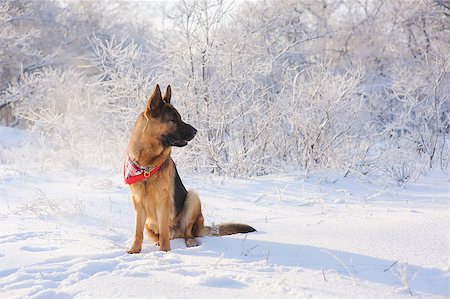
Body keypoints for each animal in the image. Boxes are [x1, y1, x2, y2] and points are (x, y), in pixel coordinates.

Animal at [125, 84, 256, 253]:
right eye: (173, 120)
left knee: (186, 232)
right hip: (150, 223)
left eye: (179, 117)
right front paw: (135, 250)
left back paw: (190, 242)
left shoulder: (163, 201)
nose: (195, 131)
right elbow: (137, 231)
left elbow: (164, 231)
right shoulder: (138, 203)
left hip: (193, 198)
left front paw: (165, 252)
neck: (147, 164)